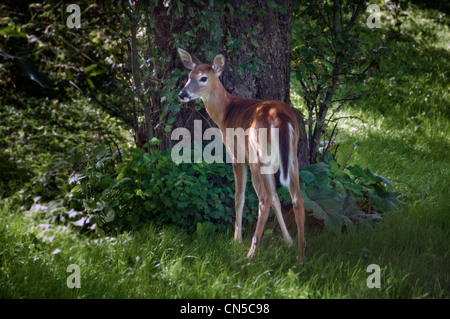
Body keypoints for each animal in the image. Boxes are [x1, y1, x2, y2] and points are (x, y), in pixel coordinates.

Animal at [176, 48, 306, 262]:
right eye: (189, 76)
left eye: (203, 78)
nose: (182, 93)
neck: (225, 112)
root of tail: (280, 118)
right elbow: (277, 199)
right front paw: (288, 241)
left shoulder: (236, 155)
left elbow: (239, 196)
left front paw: (236, 239)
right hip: (291, 156)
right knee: (295, 197)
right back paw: (300, 253)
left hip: (257, 154)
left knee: (264, 199)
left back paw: (251, 253)